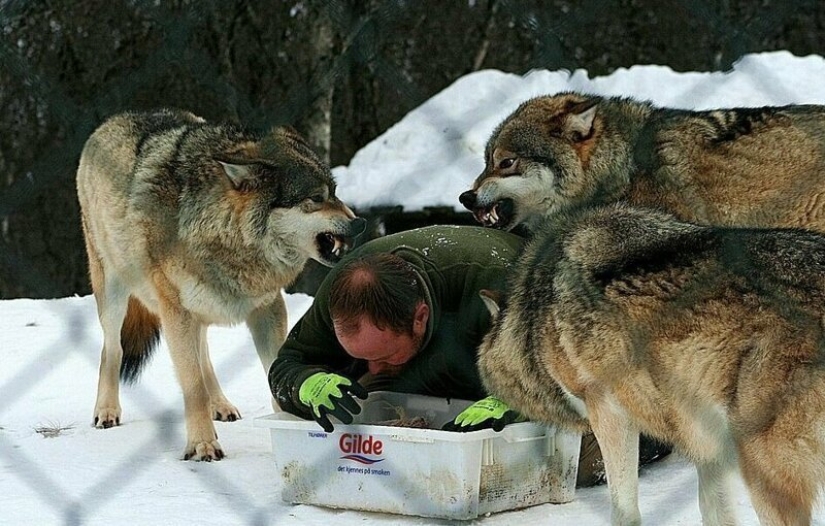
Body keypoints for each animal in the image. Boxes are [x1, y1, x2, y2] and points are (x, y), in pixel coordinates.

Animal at [76, 109, 366, 461]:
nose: (360, 223)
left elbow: (271, 371)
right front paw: (202, 445)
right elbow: (192, 386)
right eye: (316, 198)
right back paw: (106, 411)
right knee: (113, 348)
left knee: (203, 354)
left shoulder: (268, 308)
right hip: (116, 294)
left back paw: (221, 405)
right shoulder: (176, 312)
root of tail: (117, 117)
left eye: (334, 192)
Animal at [477, 203, 825, 525]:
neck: (535, 311)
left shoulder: (609, 412)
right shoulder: (705, 441)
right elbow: (713, 510)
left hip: (763, 465)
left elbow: (624, 508)